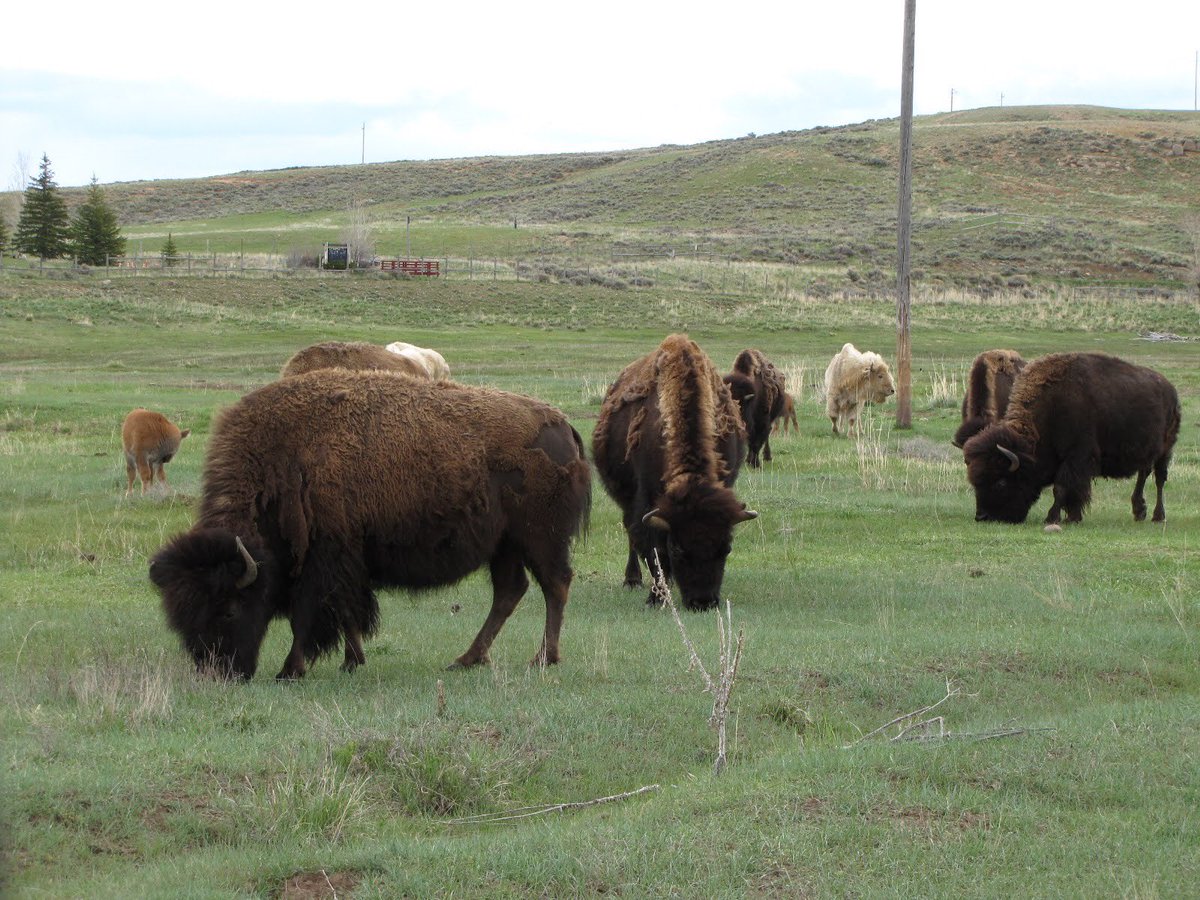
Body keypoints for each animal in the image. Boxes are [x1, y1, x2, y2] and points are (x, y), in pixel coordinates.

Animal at [149, 370, 591, 680]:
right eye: (179, 617)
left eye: (228, 610)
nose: (218, 672)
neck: (281, 461)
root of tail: (561, 425)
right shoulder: (346, 564)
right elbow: (347, 614)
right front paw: (352, 660)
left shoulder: (324, 562)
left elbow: (308, 617)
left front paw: (291, 669)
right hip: (504, 546)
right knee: (510, 592)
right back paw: (467, 659)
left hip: (539, 538)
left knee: (555, 586)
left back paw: (543, 658)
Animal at [592, 334, 756, 611]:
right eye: (678, 549)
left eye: (726, 548)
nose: (702, 602)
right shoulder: (649, 502)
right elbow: (654, 550)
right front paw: (656, 597)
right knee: (631, 534)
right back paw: (632, 580)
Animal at [963, 352, 1180, 526]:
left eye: (1001, 482)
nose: (982, 517)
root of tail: (1171, 390)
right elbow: (1070, 489)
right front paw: (1073, 516)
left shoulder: (1076, 456)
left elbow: (1061, 488)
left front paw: (1054, 517)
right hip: (1148, 452)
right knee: (1144, 474)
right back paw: (1139, 512)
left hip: (1166, 449)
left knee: (1159, 478)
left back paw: (1158, 516)